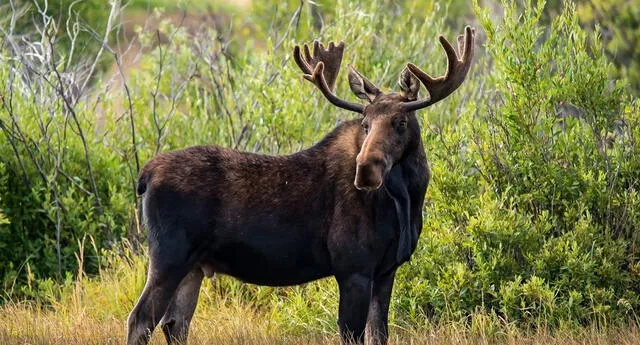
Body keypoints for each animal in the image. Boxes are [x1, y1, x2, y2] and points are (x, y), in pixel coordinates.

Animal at [126, 26, 476, 344]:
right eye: (365, 123)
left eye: (400, 122)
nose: (366, 170)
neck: (406, 200)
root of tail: (145, 177)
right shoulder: (353, 269)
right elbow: (351, 334)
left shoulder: (386, 271)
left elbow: (379, 334)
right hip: (169, 256)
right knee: (141, 319)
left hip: (194, 266)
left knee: (175, 324)